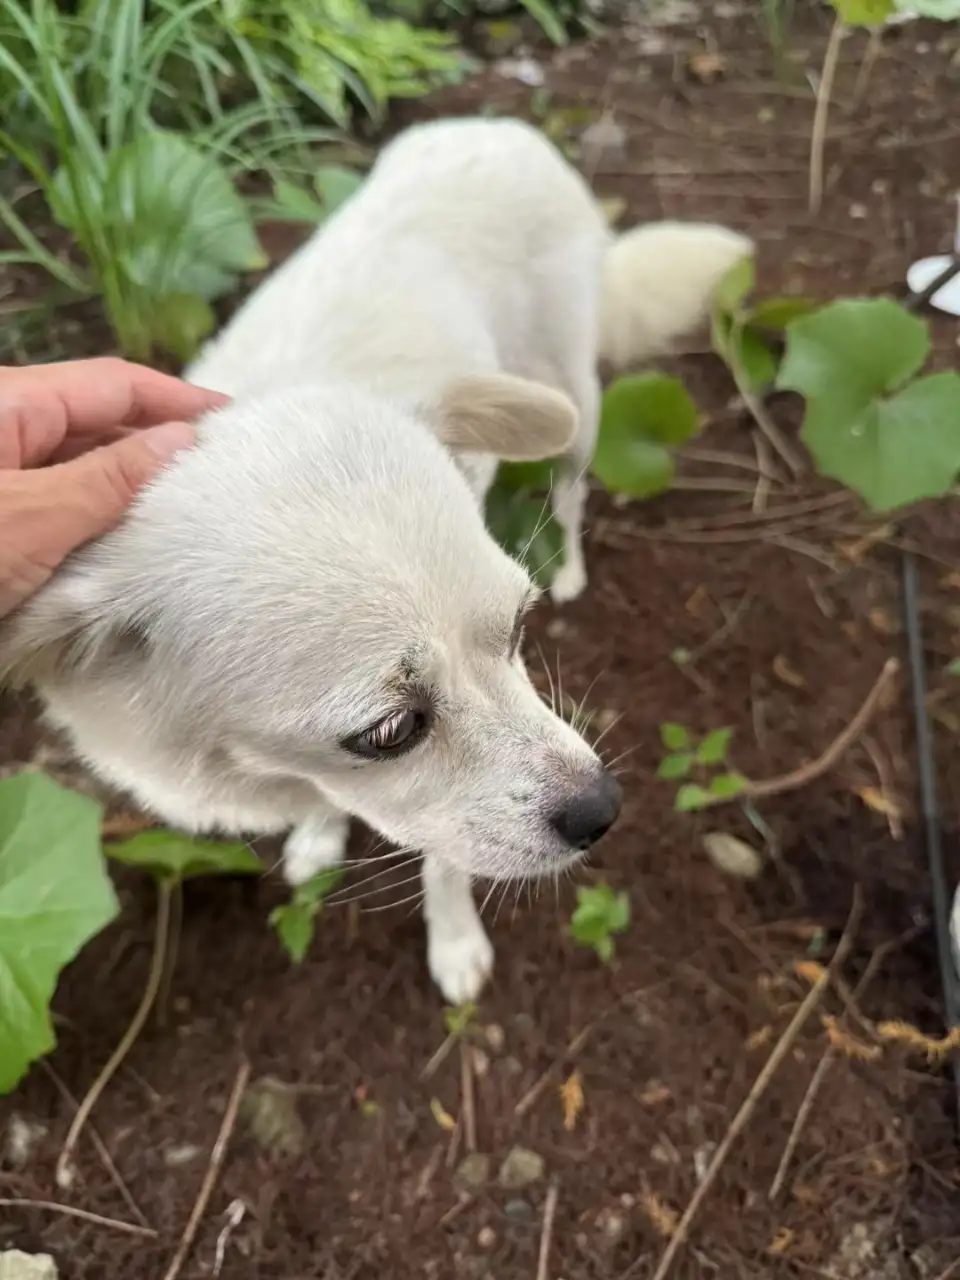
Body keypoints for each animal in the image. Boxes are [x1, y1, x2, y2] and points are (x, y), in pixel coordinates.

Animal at [0, 117, 752, 998]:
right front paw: (321, 835)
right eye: (390, 731)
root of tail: (501, 127)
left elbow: (445, 863)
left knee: (571, 489)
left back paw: (572, 565)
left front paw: (454, 942)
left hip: (572, 403)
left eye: (517, 630)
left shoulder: (442, 818)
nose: (604, 809)